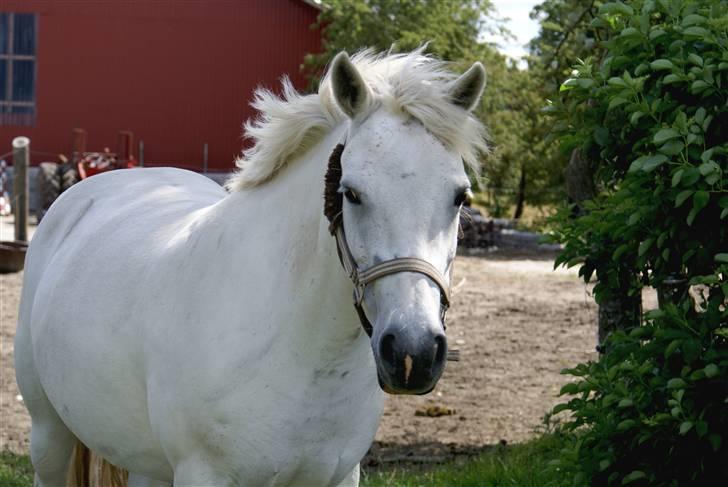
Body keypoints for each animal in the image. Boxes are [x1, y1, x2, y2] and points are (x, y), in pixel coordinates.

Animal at [14, 50, 486, 487]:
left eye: (460, 197)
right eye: (351, 193)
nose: (413, 353)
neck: (302, 355)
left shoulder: (339, 475)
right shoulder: (203, 475)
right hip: (49, 436)